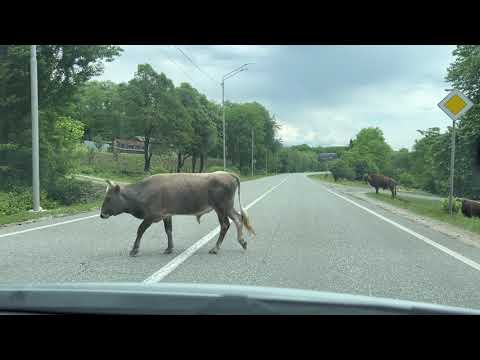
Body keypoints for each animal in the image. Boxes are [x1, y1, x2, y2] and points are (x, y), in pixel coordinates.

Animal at [100, 172, 255, 256]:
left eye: (108, 198)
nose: (101, 214)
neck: (142, 192)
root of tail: (227, 174)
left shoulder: (151, 216)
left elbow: (140, 230)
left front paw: (134, 250)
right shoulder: (167, 214)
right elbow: (168, 230)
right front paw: (169, 248)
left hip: (221, 207)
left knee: (225, 225)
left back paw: (216, 248)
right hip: (227, 207)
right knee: (238, 219)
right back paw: (242, 242)